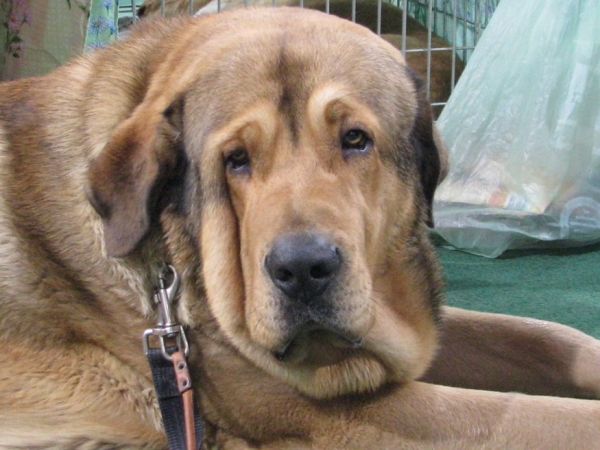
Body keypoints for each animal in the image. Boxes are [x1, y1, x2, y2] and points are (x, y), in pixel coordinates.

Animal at [1, 7, 600, 450]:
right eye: (235, 160)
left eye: (355, 139)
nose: (303, 268)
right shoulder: (346, 413)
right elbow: (535, 415)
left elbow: (547, 337)